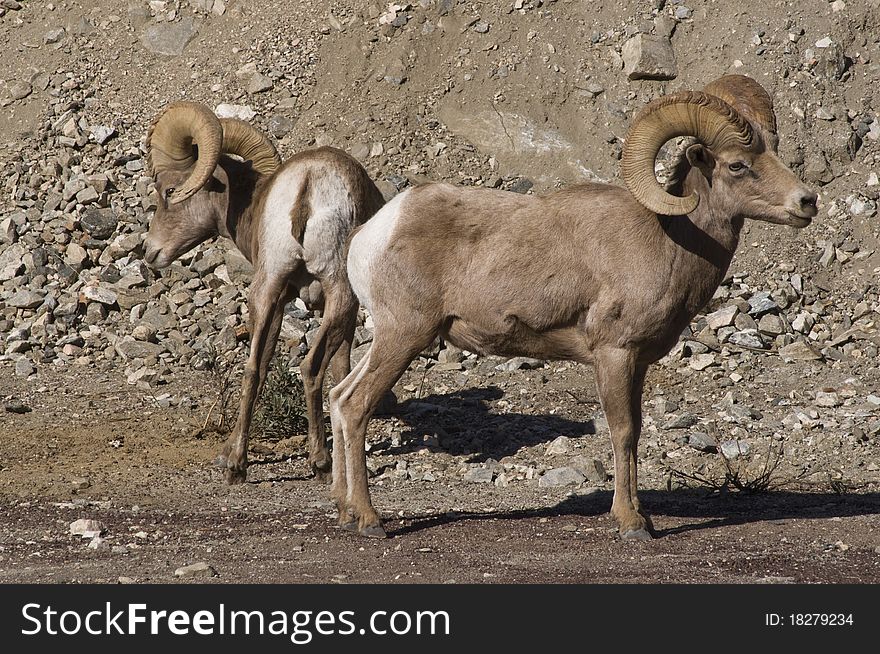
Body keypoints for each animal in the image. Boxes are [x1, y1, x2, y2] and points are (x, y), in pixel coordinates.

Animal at [144, 101, 384, 482]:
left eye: (168, 191)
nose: (149, 251)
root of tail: (307, 186)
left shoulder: (280, 299)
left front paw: (226, 455)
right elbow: (340, 370)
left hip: (268, 286)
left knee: (254, 367)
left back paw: (237, 466)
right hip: (339, 294)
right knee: (310, 367)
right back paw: (320, 462)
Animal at [328, 77, 820, 540]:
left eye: (775, 151)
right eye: (737, 165)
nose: (807, 202)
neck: (669, 241)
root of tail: (371, 235)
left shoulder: (637, 364)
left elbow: (636, 430)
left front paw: (642, 517)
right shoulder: (614, 354)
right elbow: (622, 431)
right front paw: (631, 524)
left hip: (390, 338)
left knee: (337, 397)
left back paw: (346, 512)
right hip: (405, 336)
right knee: (355, 405)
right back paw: (369, 520)